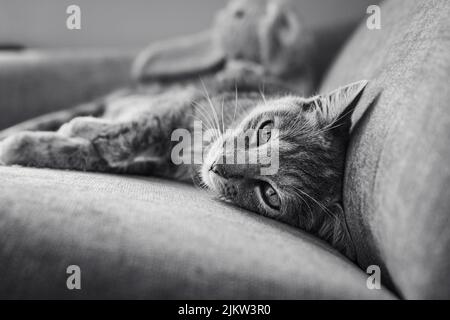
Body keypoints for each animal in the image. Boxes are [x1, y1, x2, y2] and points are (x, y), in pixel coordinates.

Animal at [0, 65, 368, 260]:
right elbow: (135, 128)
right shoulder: (181, 104)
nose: (219, 166)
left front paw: (32, 147)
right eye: (265, 132)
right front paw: (76, 130)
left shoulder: (159, 161)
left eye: (270, 195)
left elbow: (102, 153)